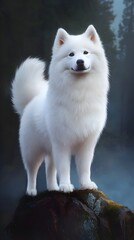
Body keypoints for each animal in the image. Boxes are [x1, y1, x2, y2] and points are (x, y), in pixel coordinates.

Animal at [11, 25, 109, 196]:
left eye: (85, 52)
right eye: (71, 54)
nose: (80, 61)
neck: (80, 92)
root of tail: (31, 100)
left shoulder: (87, 144)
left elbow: (84, 167)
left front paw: (86, 184)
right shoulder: (62, 143)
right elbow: (64, 167)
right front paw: (66, 186)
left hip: (50, 151)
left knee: (49, 170)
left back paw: (53, 187)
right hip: (32, 150)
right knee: (32, 172)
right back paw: (31, 190)